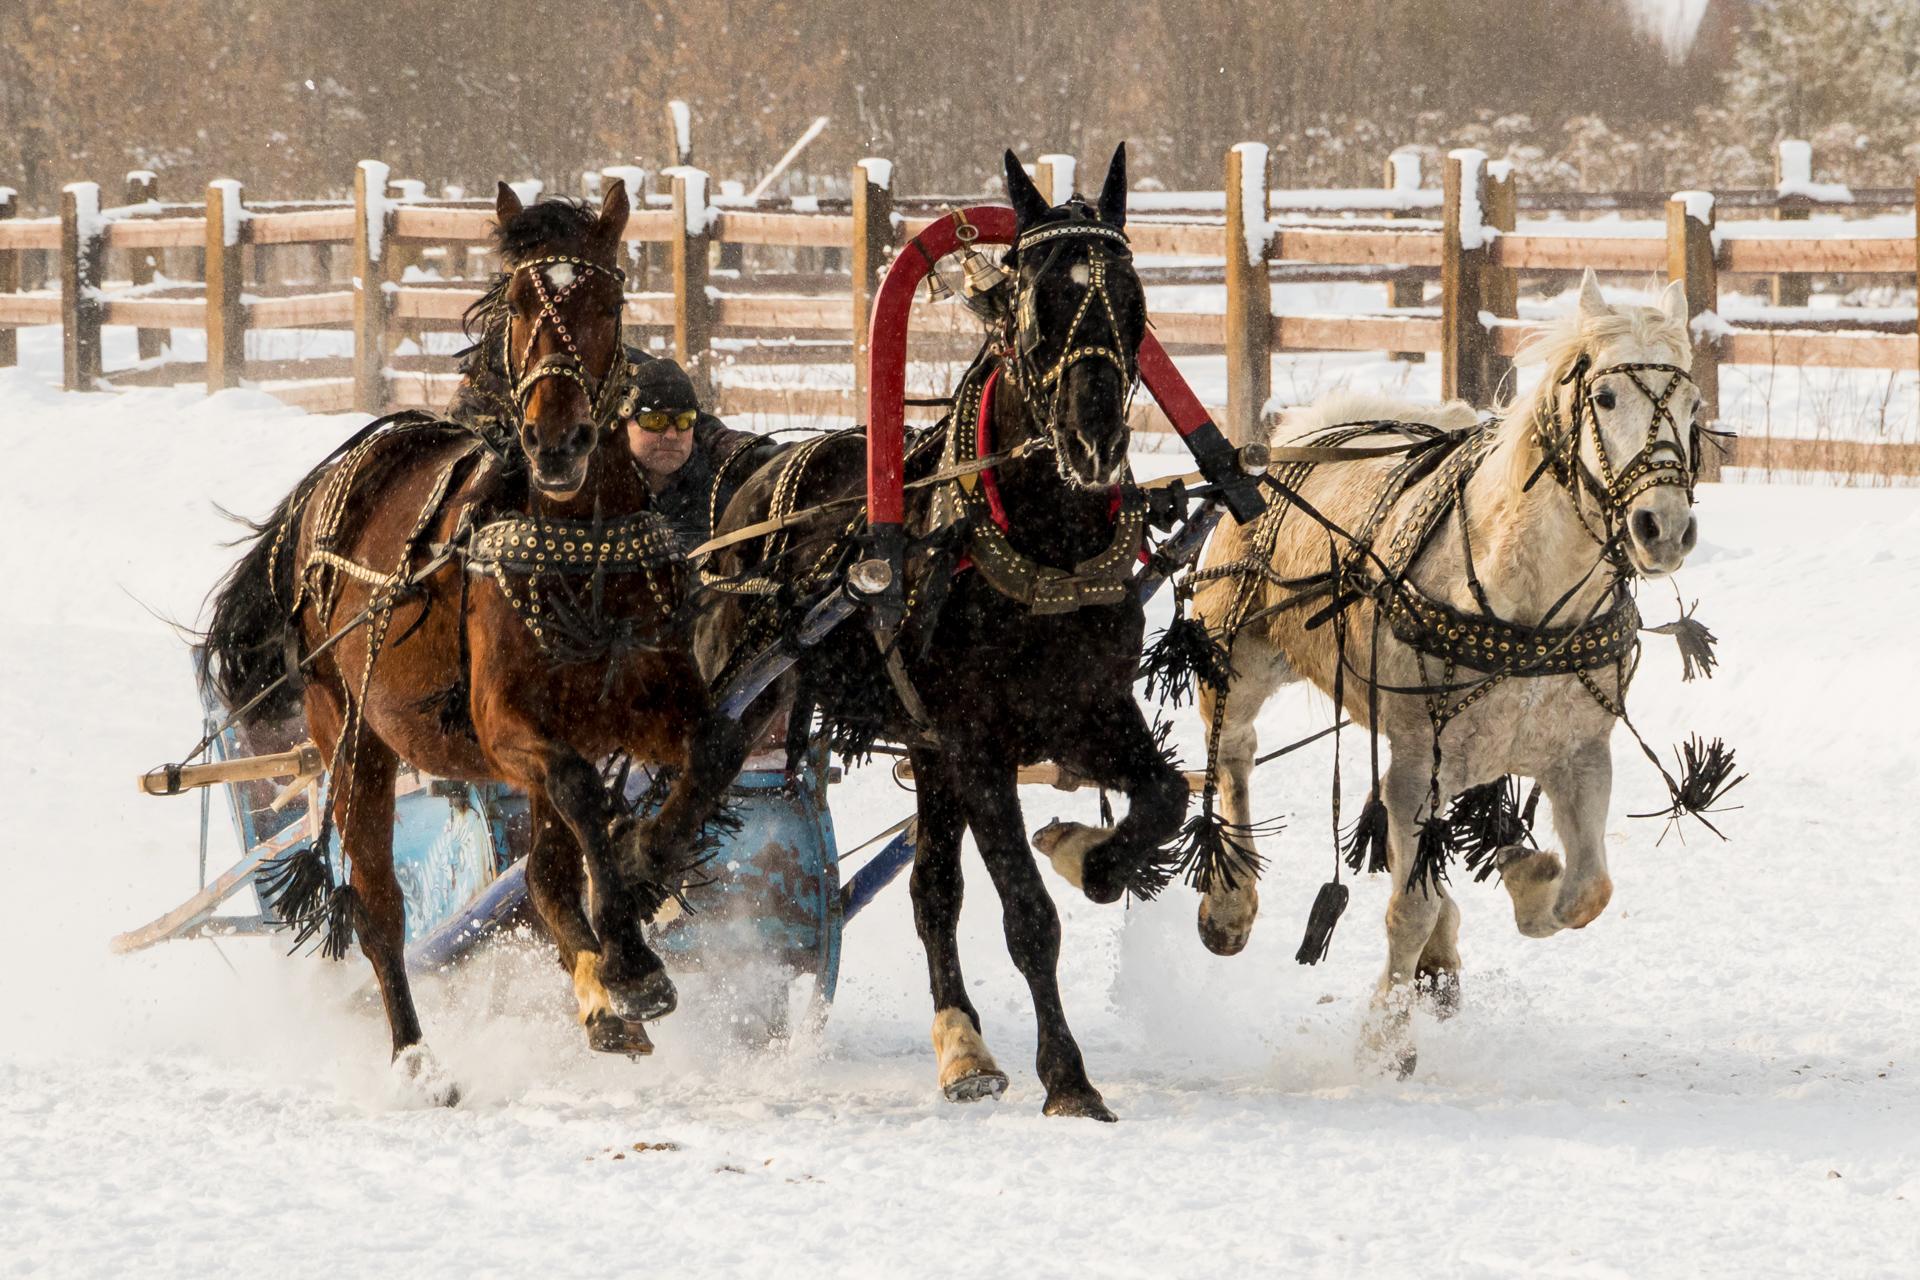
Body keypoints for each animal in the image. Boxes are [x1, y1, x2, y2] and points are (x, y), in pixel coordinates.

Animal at [200, 180, 741, 1105]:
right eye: (520, 303)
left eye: (607, 303)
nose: (555, 442)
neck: (579, 549)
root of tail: (331, 482)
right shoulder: (508, 730)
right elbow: (580, 795)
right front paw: (630, 955)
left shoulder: (648, 709)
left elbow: (706, 761)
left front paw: (643, 873)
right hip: (352, 739)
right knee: (380, 909)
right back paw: (419, 1058)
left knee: (546, 879)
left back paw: (598, 995)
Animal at [698, 144, 1190, 1113]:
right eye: (1035, 298)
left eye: (1134, 294)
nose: (1094, 438)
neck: (1039, 538)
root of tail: (753, 471)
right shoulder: (976, 742)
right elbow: (1029, 916)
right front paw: (1068, 1077)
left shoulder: (1088, 712)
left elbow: (1164, 799)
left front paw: (1096, 858)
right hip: (741, 708)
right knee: (652, 827)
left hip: (921, 749)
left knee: (931, 890)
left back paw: (963, 1045)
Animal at [1190, 272, 1704, 1074]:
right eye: (1606, 396)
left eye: (1693, 404)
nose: (1665, 528)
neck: (1529, 600)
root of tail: (1306, 431)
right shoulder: (1419, 762)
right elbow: (1409, 908)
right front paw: (1385, 1037)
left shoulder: (1579, 756)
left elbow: (1585, 893)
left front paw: (1527, 877)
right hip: (1237, 658)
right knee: (1233, 753)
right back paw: (1230, 900)